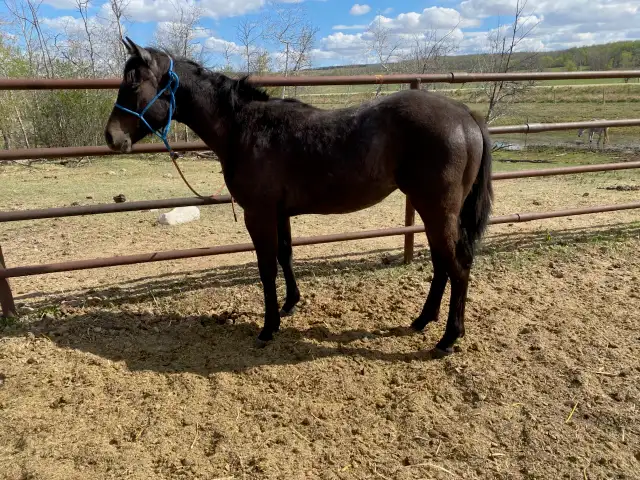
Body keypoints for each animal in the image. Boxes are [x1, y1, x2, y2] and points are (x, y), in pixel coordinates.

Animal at [104, 38, 494, 357]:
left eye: (134, 83)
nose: (111, 137)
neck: (246, 129)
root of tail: (464, 115)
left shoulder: (258, 214)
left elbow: (265, 267)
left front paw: (268, 327)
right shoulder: (279, 213)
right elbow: (285, 256)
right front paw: (290, 304)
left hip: (436, 210)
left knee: (457, 265)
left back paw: (447, 339)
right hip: (434, 211)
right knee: (443, 264)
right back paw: (422, 320)